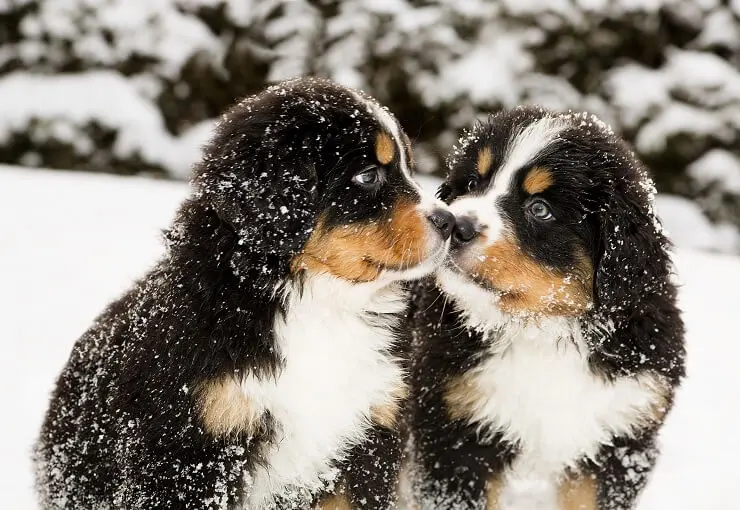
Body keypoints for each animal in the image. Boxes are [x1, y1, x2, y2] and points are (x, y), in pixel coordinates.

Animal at [408, 105, 684, 510]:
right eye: (472, 183)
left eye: (540, 209)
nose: (456, 224)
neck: (542, 330)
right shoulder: (456, 434)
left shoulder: (619, 437)